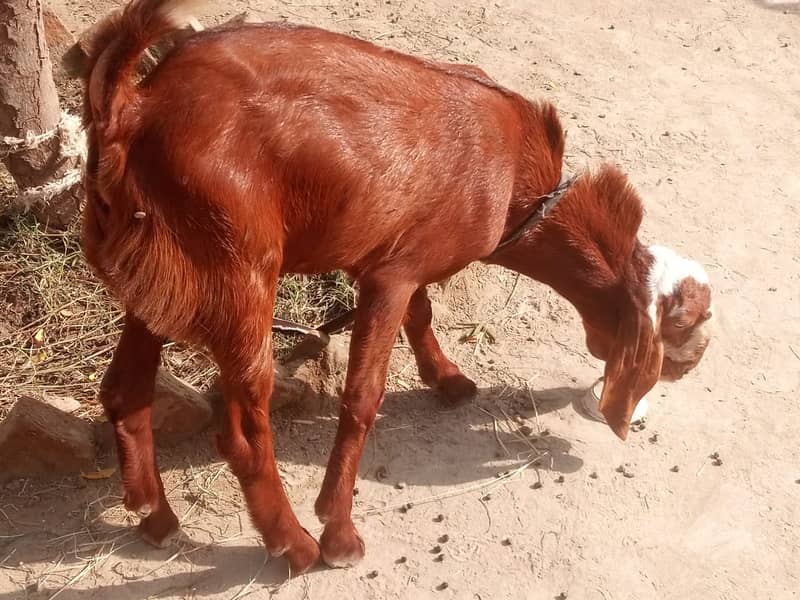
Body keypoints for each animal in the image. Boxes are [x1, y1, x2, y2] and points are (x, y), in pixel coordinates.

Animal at [75, 0, 712, 576]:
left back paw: (156, 517)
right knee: (242, 435)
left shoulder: (399, 258)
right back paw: (295, 545)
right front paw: (338, 530)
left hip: (161, 273)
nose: (687, 369)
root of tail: (132, 108)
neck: (516, 180)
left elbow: (423, 314)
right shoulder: (390, 277)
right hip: (237, 271)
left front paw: (448, 379)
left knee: (125, 390)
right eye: (682, 326)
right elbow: (362, 399)